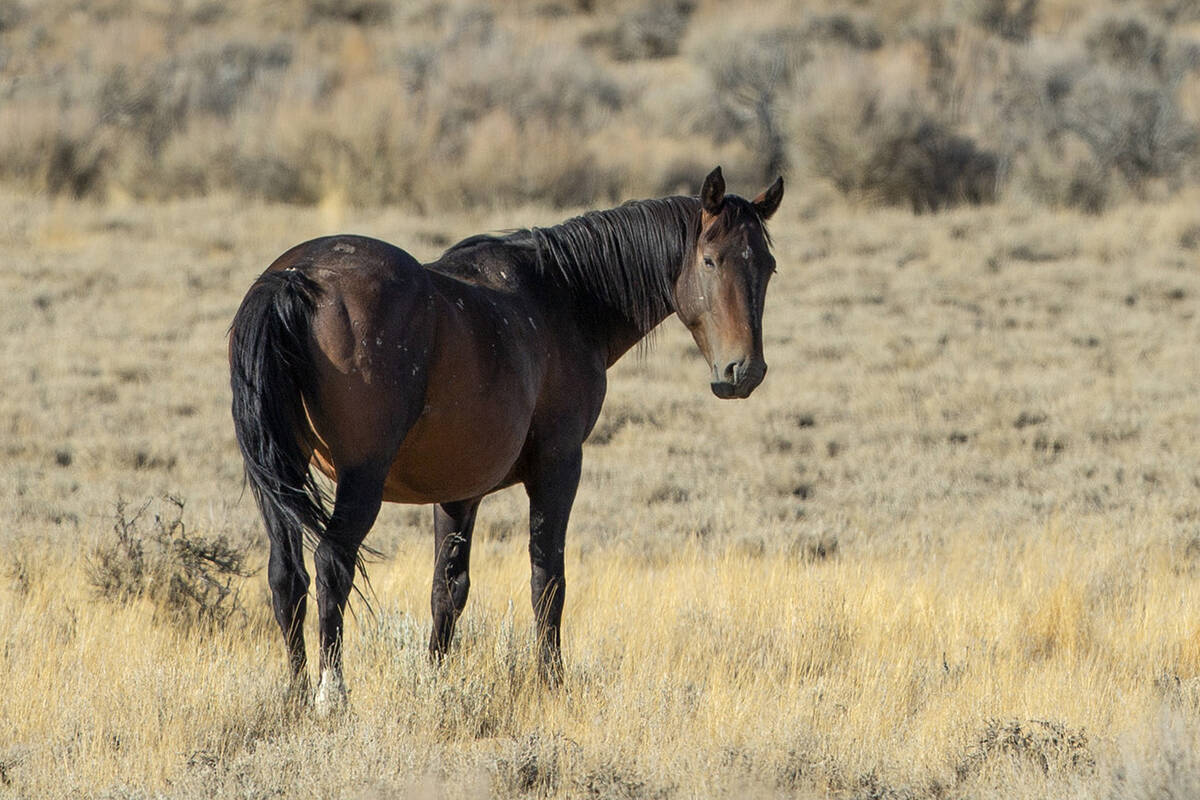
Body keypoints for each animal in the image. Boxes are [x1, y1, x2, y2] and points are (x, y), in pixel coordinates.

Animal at [229, 165, 782, 710]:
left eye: (769, 267)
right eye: (709, 260)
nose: (744, 371)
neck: (563, 298)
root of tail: (295, 279)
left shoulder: (457, 492)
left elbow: (447, 589)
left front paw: (437, 683)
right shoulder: (558, 466)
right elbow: (547, 579)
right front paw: (552, 682)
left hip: (282, 476)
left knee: (287, 575)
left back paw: (297, 696)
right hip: (360, 480)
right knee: (331, 565)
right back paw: (331, 695)